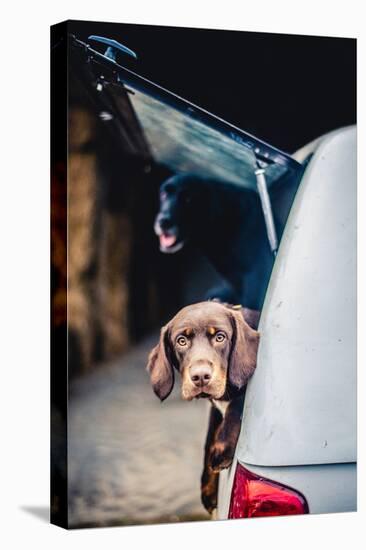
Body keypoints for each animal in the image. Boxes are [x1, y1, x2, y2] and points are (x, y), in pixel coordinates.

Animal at [147, 302, 260, 512]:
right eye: (181, 341)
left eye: (220, 337)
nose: (200, 377)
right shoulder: (215, 409)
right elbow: (209, 439)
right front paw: (207, 488)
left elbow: (236, 406)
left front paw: (222, 450)